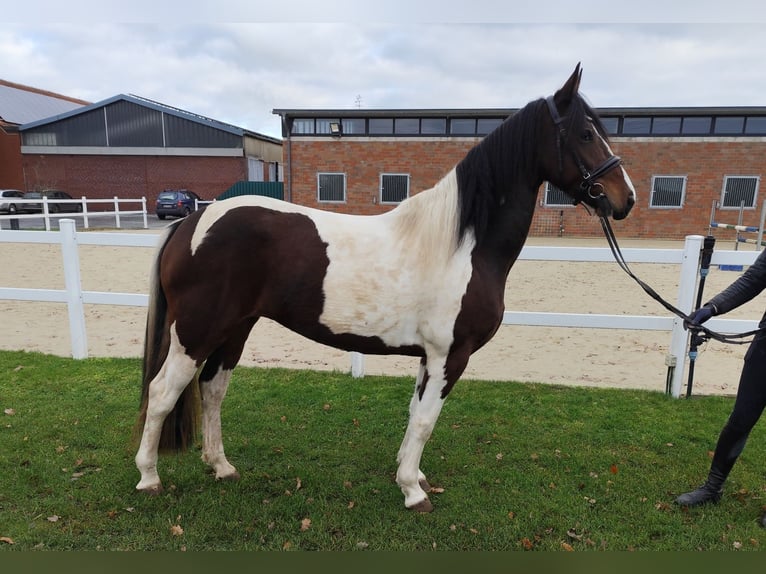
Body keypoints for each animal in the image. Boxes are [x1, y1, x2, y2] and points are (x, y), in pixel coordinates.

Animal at [135, 64, 640, 512]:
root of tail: (191, 221)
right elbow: (426, 421)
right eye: (585, 134)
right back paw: (149, 478)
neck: (462, 244)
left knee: (212, 389)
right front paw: (413, 493)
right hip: (197, 332)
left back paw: (221, 467)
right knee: (162, 393)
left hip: (235, 328)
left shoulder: (429, 357)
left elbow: (415, 416)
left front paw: (411, 475)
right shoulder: (449, 355)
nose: (626, 199)